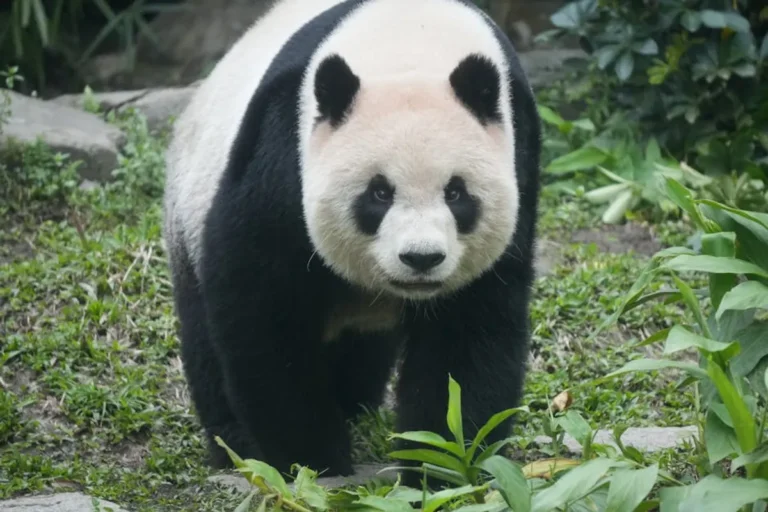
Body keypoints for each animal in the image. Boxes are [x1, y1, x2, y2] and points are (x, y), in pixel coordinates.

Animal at [162, 0, 541, 484]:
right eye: (379, 193)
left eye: (456, 193)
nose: (421, 259)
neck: (410, 41)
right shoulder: (283, 147)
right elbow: (263, 307)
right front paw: (312, 460)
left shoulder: (520, 152)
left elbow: (469, 328)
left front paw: (444, 464)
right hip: (190, 203)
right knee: (203, 335)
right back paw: (234, 442)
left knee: (362, 350)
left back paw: (353, 403)